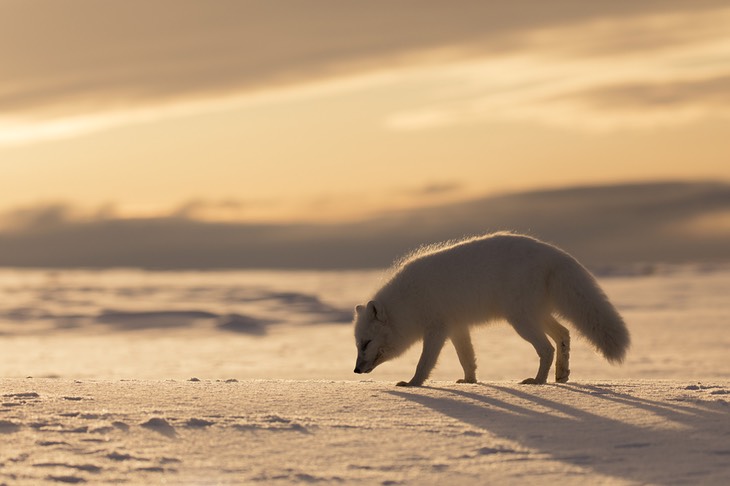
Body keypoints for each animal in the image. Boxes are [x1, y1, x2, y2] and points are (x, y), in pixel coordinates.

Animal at [352, 233, 624, 388]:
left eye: (366, 343)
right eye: (358, 344)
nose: (355, 370)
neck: (408, 304)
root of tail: (553, 253)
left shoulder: (437, 329)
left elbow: (424, 362)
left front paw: (412, 383)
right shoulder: (457, 327)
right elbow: (467, 358)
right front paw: (470, 381)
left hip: (520, 320)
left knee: (547, 348)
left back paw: (538, 381)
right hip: (535, 315)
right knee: (564, 334)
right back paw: (561, 374)